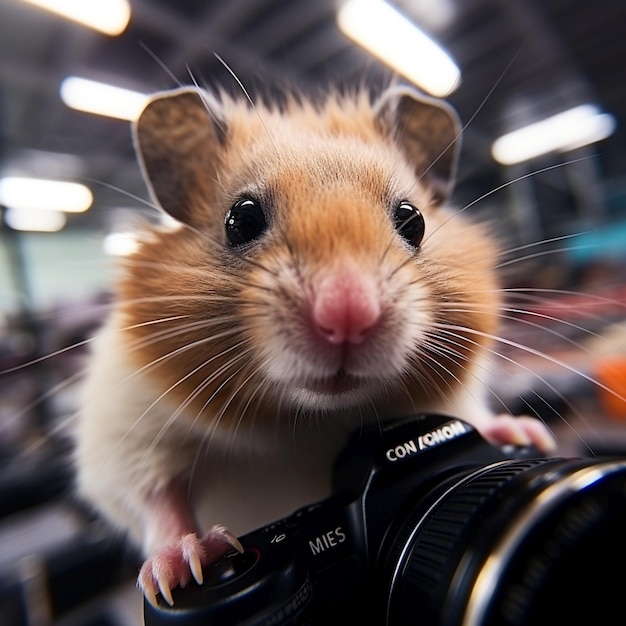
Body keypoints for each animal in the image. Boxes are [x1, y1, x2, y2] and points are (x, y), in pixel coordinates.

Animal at [73, 84, 552, 604]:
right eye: (240, 220)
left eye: (414, 220)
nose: (347, 316)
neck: (314, 420)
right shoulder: (122, 429)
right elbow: (154, 497)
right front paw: (186, 564)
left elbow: (477, 417)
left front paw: (527, 434)